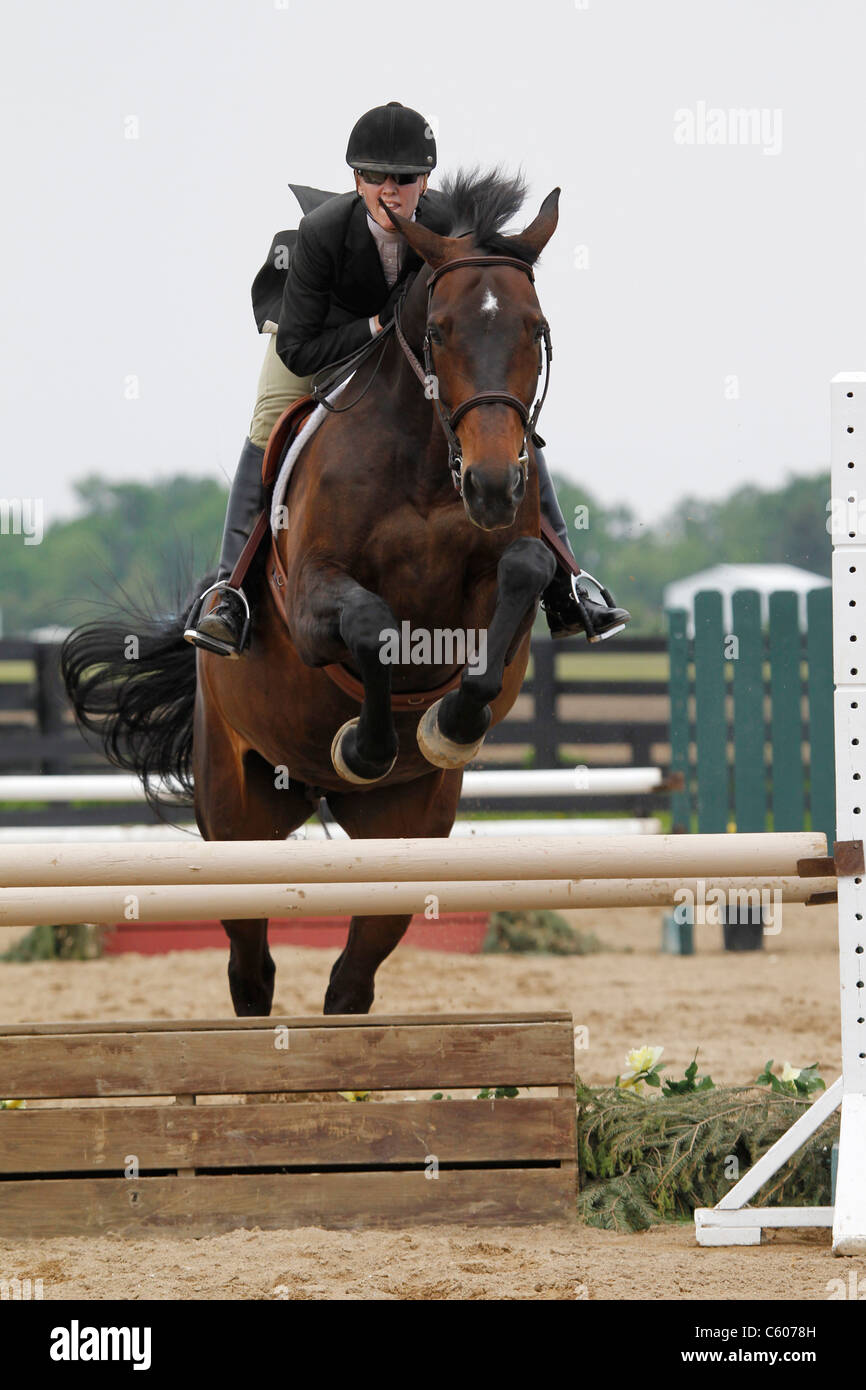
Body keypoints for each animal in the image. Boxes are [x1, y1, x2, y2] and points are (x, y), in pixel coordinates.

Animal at [61, 170, 561, 1023]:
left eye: (536, 329)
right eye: (440, 332)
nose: (496, 484)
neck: (428, 464)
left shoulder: (500, 579)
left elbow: (518, 581)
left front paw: (449, 726)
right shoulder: (312, 600)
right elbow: (370, 621)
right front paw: (365, 745)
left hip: (405, 838)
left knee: (352, 978)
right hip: (236, 821)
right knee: (251, 963)